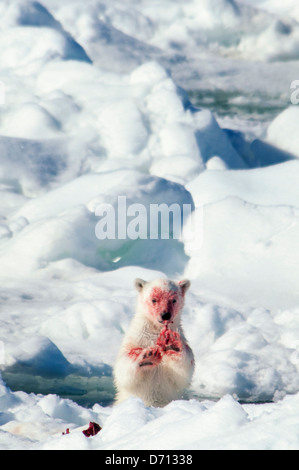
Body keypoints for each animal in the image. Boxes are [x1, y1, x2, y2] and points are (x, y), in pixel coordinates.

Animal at [113, 280, 196, 408]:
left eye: (173, 300)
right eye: (154, 299)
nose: (165, 314)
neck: (156, 330)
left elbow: (182, 375)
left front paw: (175, 346)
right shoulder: (136, 338)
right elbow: (123, 369)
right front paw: (147, 356)